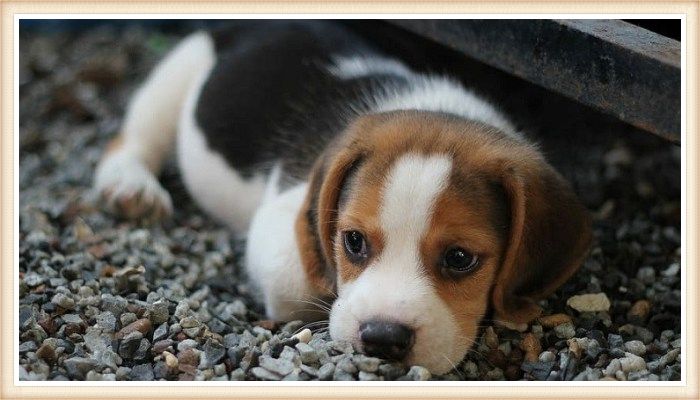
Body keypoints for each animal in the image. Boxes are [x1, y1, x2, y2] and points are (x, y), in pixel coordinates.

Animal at [93, 20, 592, 374]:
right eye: (353, 242)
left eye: (460, 258)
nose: (382, 339)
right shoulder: (280, 222)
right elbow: (302, 280)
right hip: (178, 71)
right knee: (133, 137)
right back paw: (130, 187)